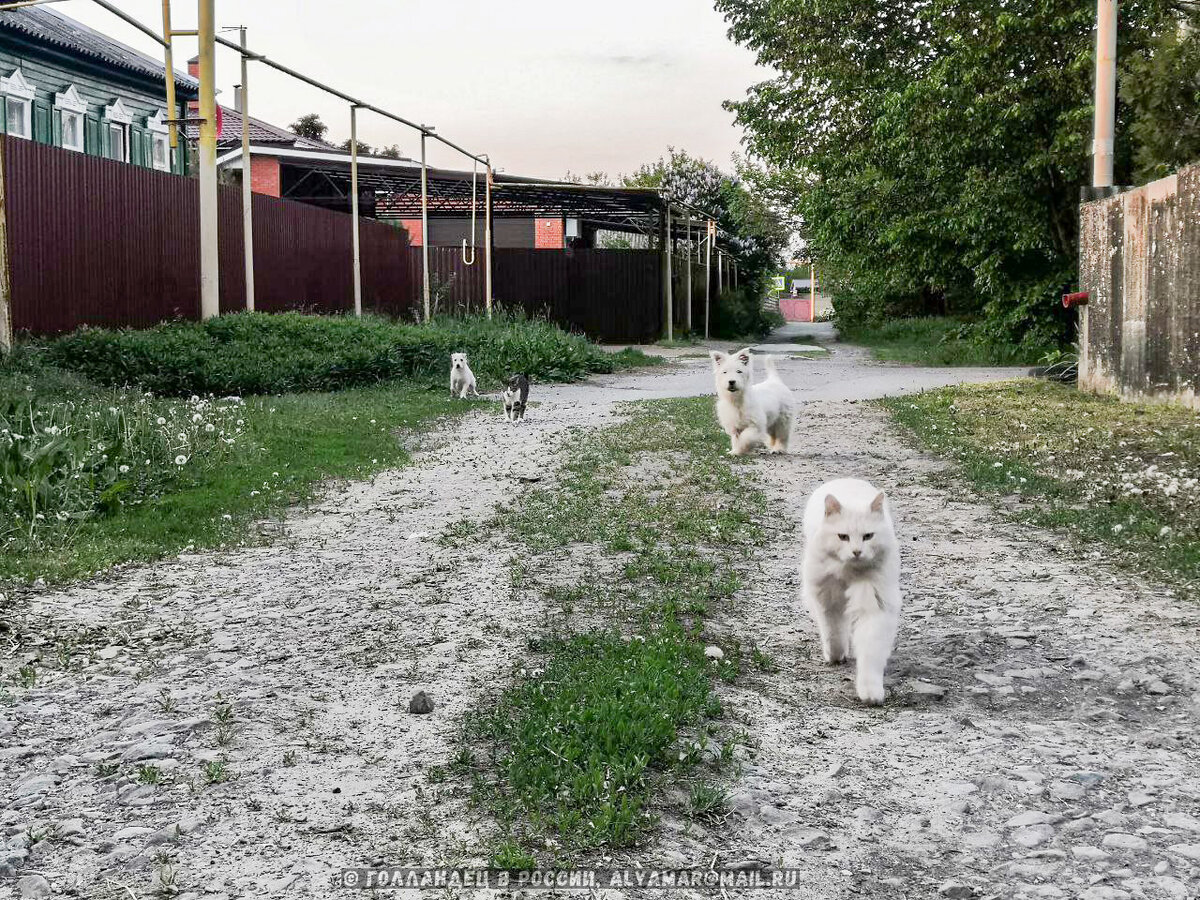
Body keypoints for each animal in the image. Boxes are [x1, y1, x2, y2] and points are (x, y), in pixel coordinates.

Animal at [801, 475, 902, 710]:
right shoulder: (827, 598)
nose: (857, 552)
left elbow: (870, 654)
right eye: (843, 537)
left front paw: (871, 693)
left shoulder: (875, 606)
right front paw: (835, 656)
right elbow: (833, 633)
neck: (849, 574)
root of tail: (847, 479)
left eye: (868, 536)